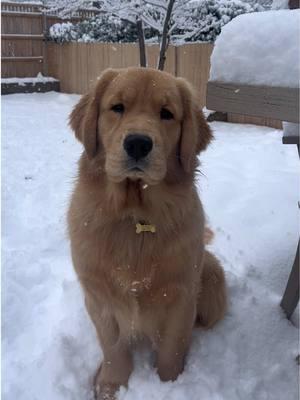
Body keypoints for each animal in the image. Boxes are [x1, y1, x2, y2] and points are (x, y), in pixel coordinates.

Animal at [68, 67, 226, 398]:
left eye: (167, 113)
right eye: (117, 107)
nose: (138, 144)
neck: (134, 217)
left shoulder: (181, 296)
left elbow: (172, 348)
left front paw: (170, 384)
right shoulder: (99, 296)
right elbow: (113, 350)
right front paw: (110, 386)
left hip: (212, 273)